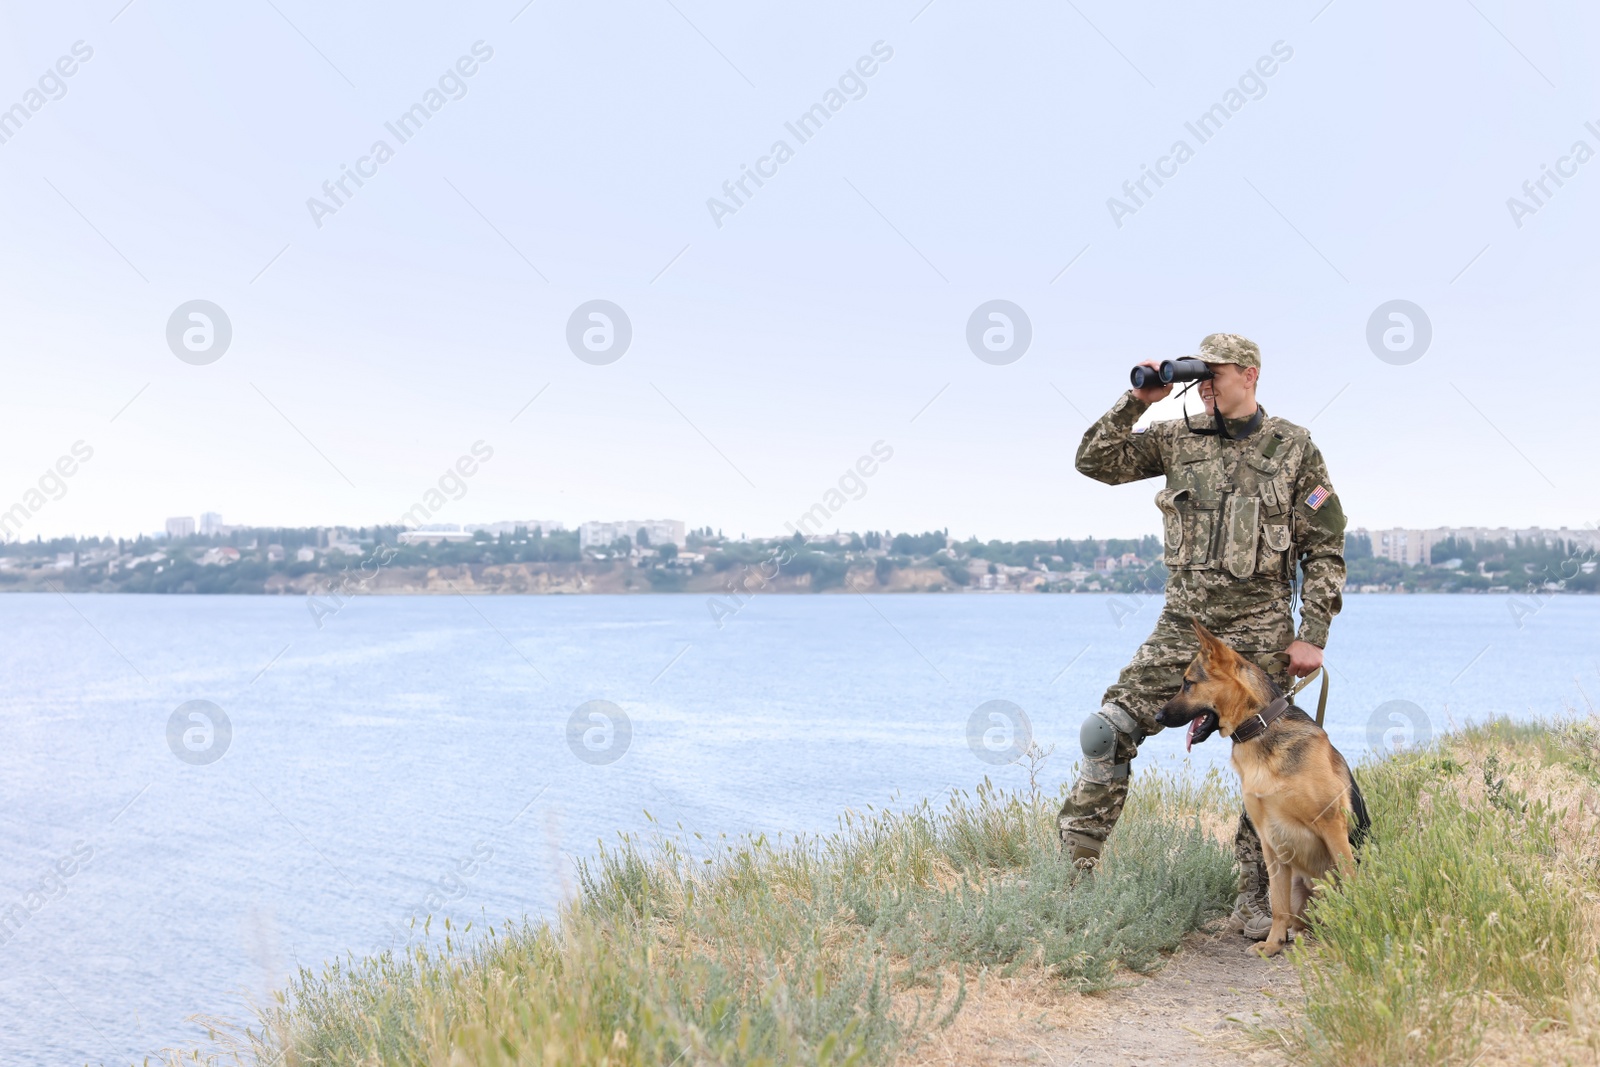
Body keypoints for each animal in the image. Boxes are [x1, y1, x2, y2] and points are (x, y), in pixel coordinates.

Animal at [1158, 617, 1369, 959]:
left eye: (1188, 683)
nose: (1157, 715)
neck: (1260, 726)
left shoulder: (1331, 824)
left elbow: (1349, 878)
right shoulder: (1270, 840)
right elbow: (1277, 903)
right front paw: (1272, 944)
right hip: (1299, 886)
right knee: (1302, 919)